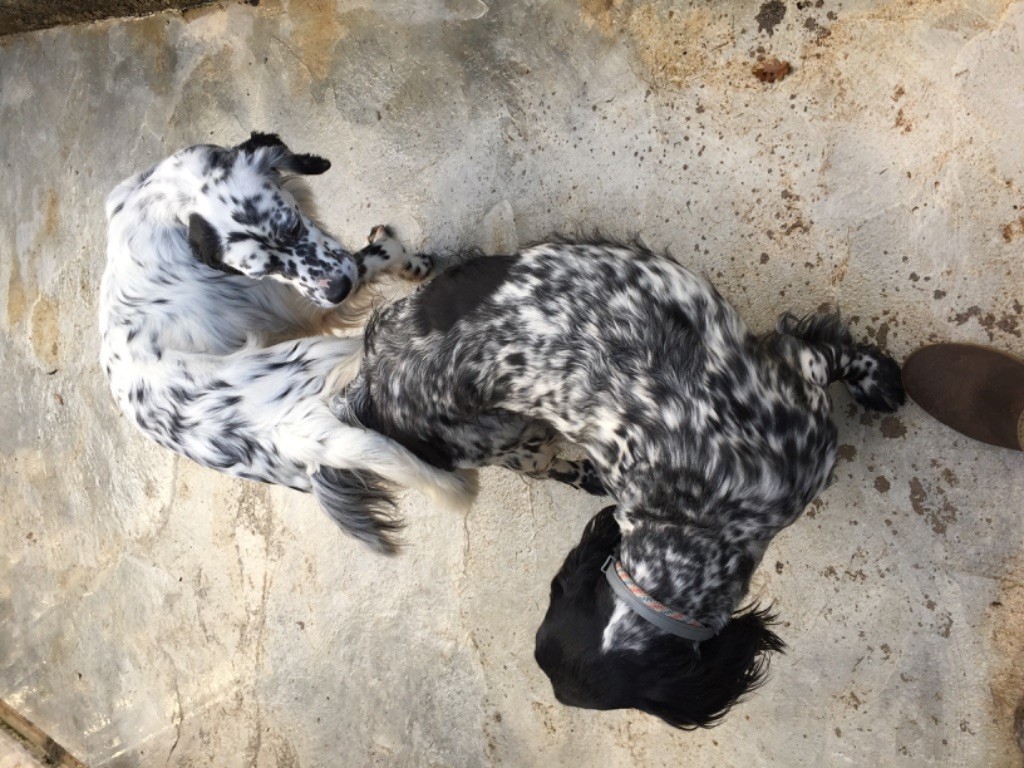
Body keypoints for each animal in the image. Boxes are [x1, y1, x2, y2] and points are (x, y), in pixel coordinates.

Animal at [99, 132, 475, 544]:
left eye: (292, 227)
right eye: (263, 269)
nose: (337, 289)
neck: (165, 199)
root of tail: (291, 433)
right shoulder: (309, 299)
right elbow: (385, 252)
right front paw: (413, 263)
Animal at [329, 240, 905, 729]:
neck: (695, 523)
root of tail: (370, 386)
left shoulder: (792, 370)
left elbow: (843, 356)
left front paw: (880, 381)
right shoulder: (794, 383)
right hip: (506, 436)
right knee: (537, 464)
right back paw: (579, 474)